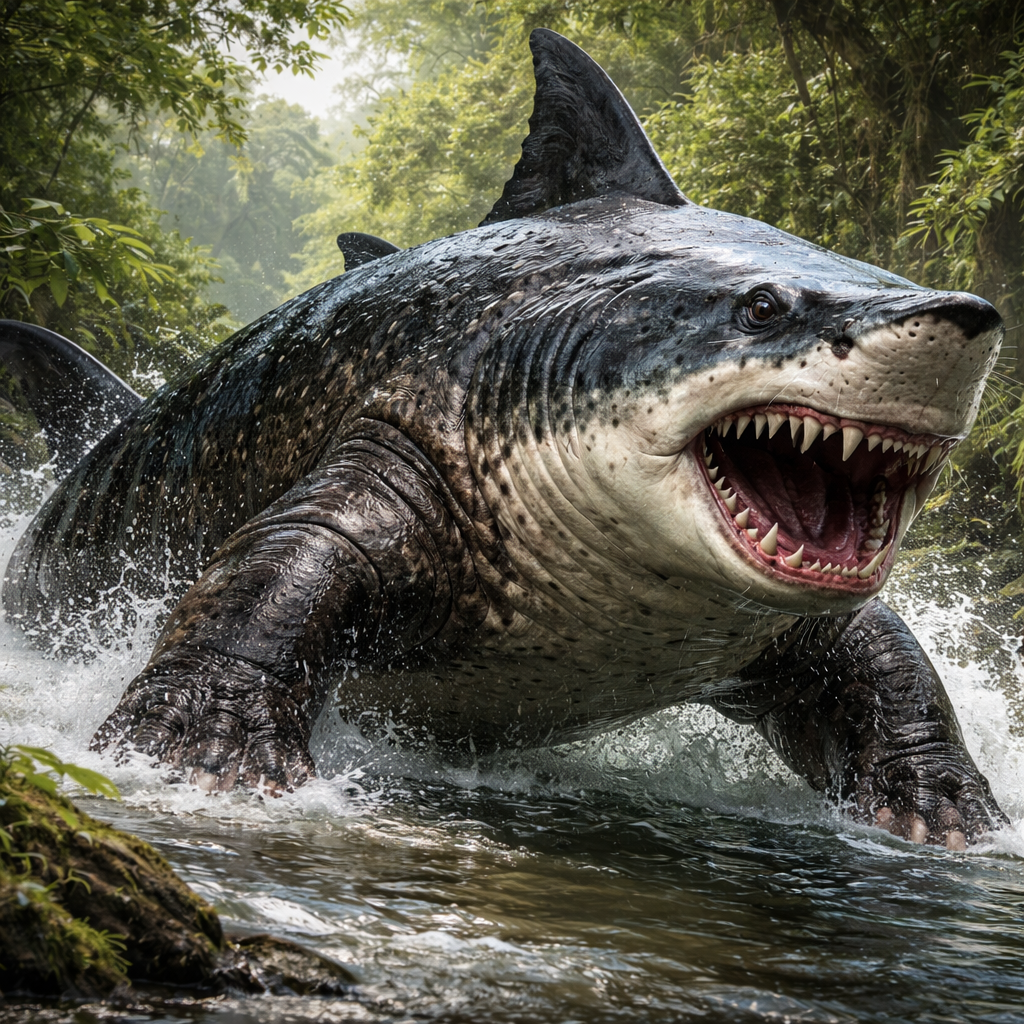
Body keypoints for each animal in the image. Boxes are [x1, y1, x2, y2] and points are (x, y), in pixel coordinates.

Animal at [1, 30, 1007, 847]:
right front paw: (193, 750)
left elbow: (891, 668)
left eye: (910, 283)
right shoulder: (404, 435)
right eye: (764, 307)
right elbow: (278, 576)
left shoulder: (799, 624)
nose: (968, 324)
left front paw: (942, 801)